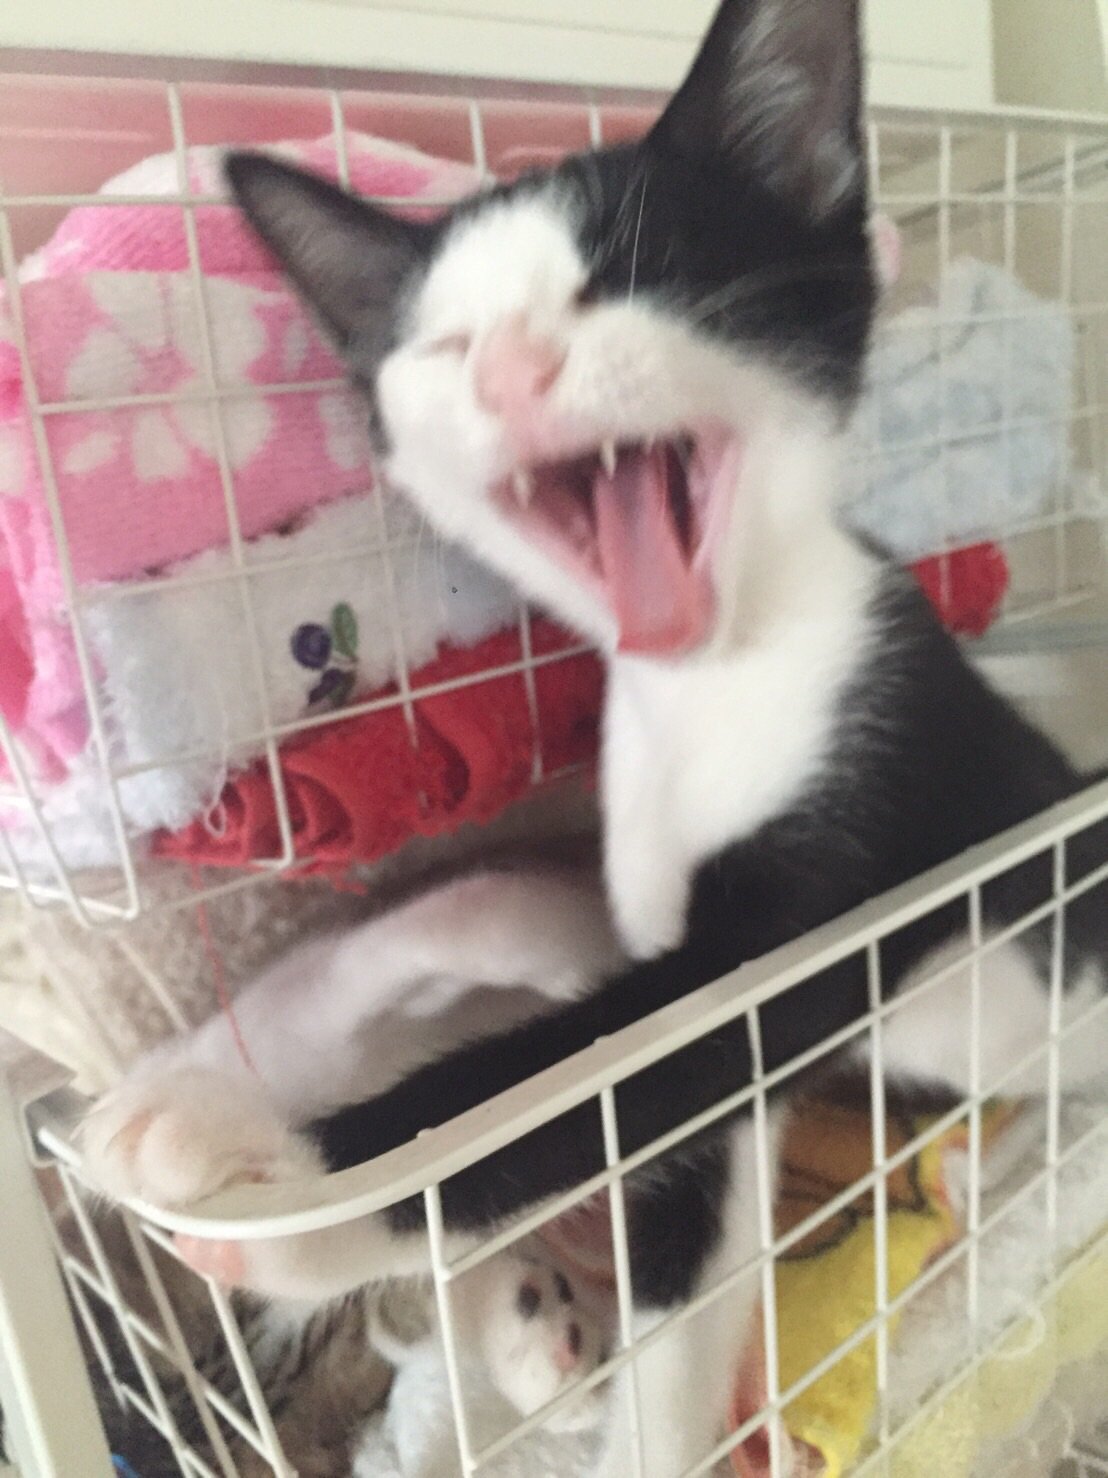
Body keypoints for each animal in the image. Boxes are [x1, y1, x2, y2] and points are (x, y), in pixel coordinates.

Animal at [82, 0, 1108, 1473]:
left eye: (634, 272)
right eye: (444, 348)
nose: (514, 371)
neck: (725, 677)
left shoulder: (867, 820)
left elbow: (584, 1086)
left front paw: (292, 1178)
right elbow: (663, 1147)